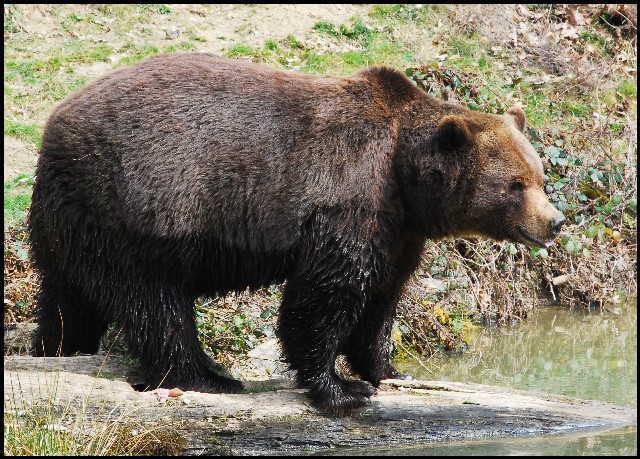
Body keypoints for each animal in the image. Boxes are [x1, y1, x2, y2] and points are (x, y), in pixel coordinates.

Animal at [27, 52, 564, 416]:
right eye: (515, 184)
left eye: (539, 176)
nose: (555, 222)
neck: (402, 179)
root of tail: (54, 124)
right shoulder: (348, 199)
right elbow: (326, 294)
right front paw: (341, 388)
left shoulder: (398, 232)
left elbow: (382, 297)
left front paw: (389, 369)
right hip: (138, 205)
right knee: (154, 300)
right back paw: (209, 376)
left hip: (69, 215)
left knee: (67, 294)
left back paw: (56, 347)